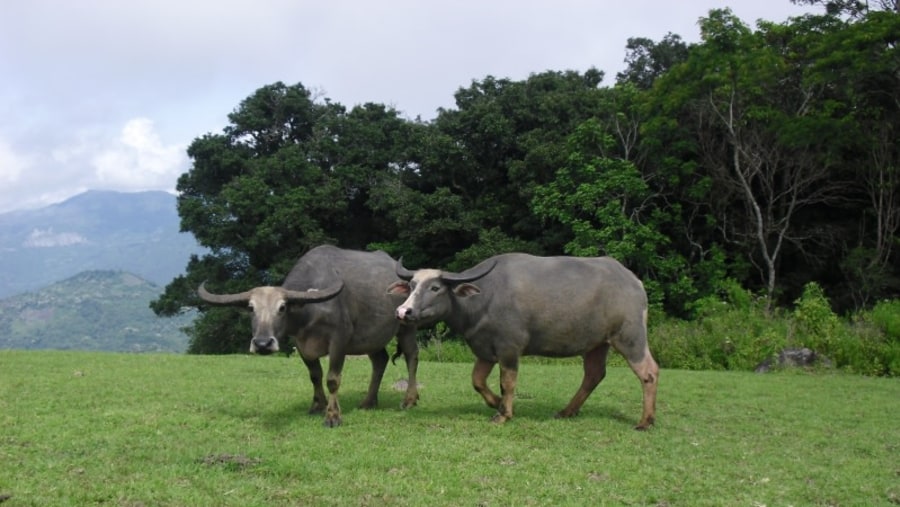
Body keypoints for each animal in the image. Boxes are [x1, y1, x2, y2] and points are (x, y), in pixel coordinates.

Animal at [199, 246, 420, 428]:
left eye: (282, 307)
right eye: (251, 308)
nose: (262, 344)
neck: (310, 312)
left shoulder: (339, 340)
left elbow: (332, 379)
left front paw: (332, 416)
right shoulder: (301, 344)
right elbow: (315, 375)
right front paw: (317, 406)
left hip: (406, 326)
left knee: (412, 356)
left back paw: (409, 400)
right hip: (371, 339)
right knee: (380, 360)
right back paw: (368, 401)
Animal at [388, 252, 660, 430]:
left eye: (435, 288)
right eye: (411, 286)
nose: (403, 311)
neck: (483, 299)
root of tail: (634, 281)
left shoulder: (509, 349)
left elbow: (507, 382)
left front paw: (504, 414)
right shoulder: (485, 350)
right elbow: (477, 381)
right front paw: (496, 403)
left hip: (630, 337)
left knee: (649, 372)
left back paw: (645, 421)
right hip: (596, 344)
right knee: (594, 374)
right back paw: (567, 411)